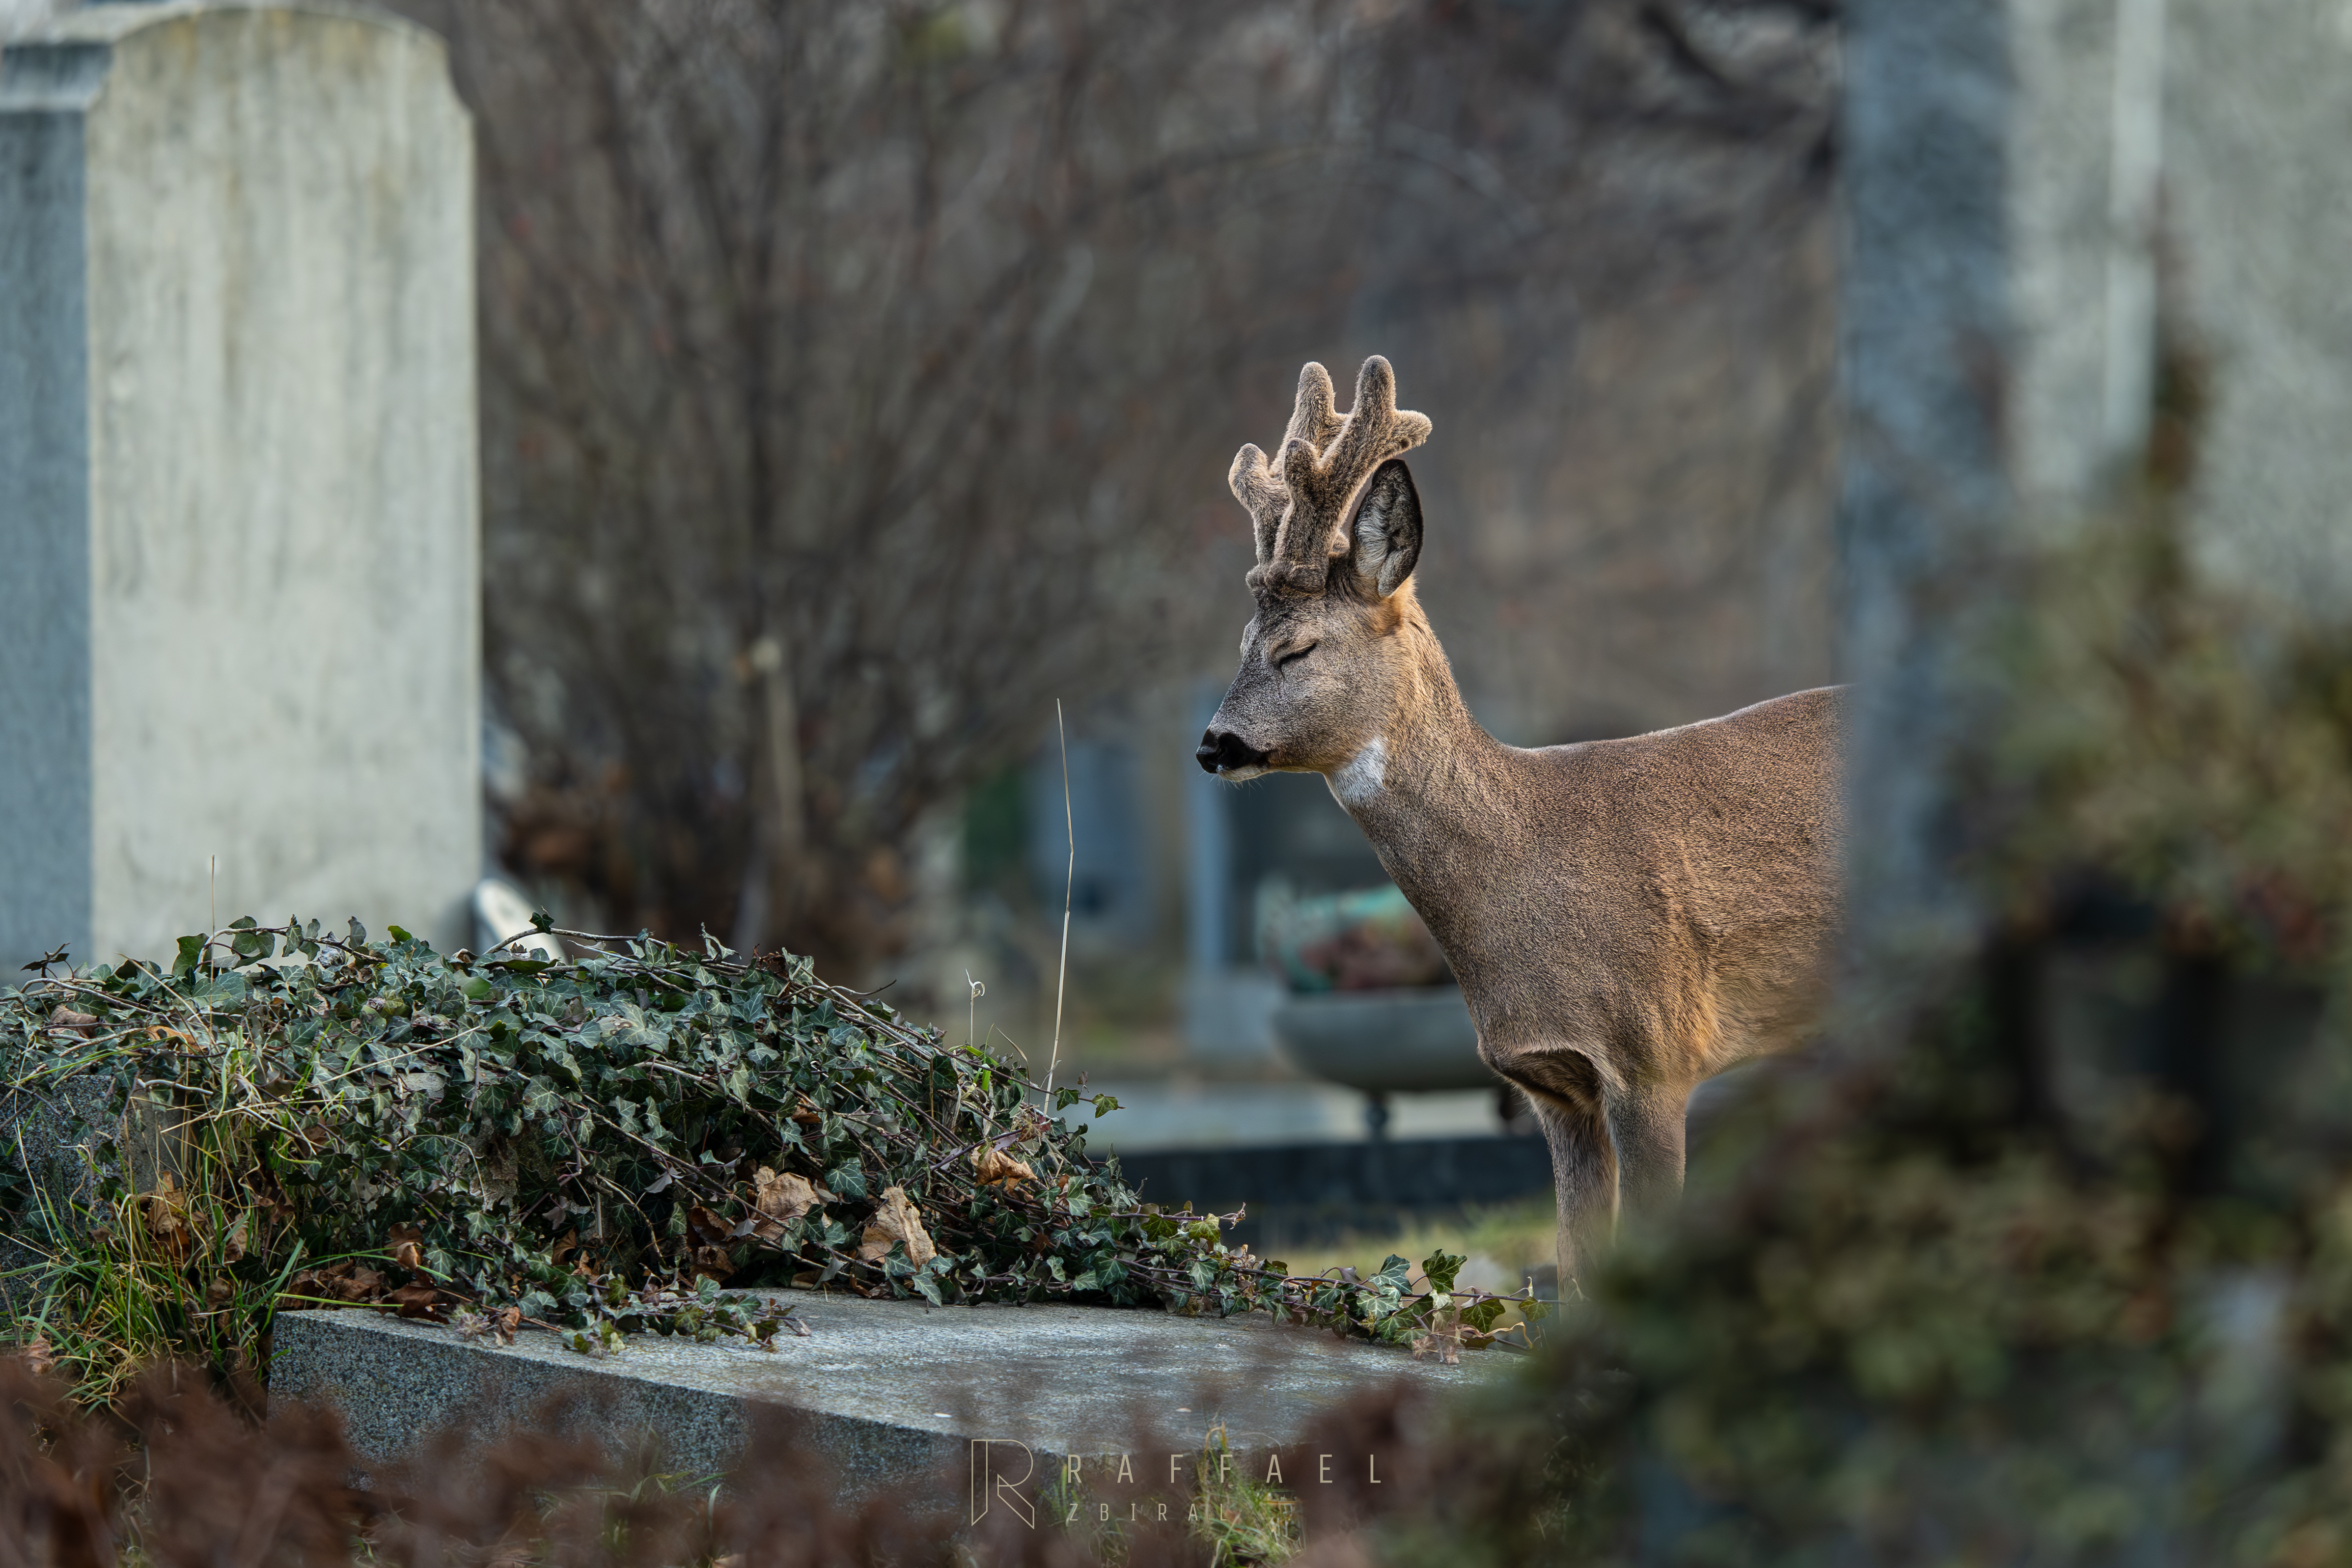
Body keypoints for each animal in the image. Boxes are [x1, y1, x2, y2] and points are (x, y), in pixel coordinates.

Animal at [1196, 356, 1844, 1296]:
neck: (1529, 857)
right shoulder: (1550, 1080)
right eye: (1242, 642)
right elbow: (1577, 1263)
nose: (1213, 744)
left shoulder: (1656, 1047)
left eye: (1297, 649)